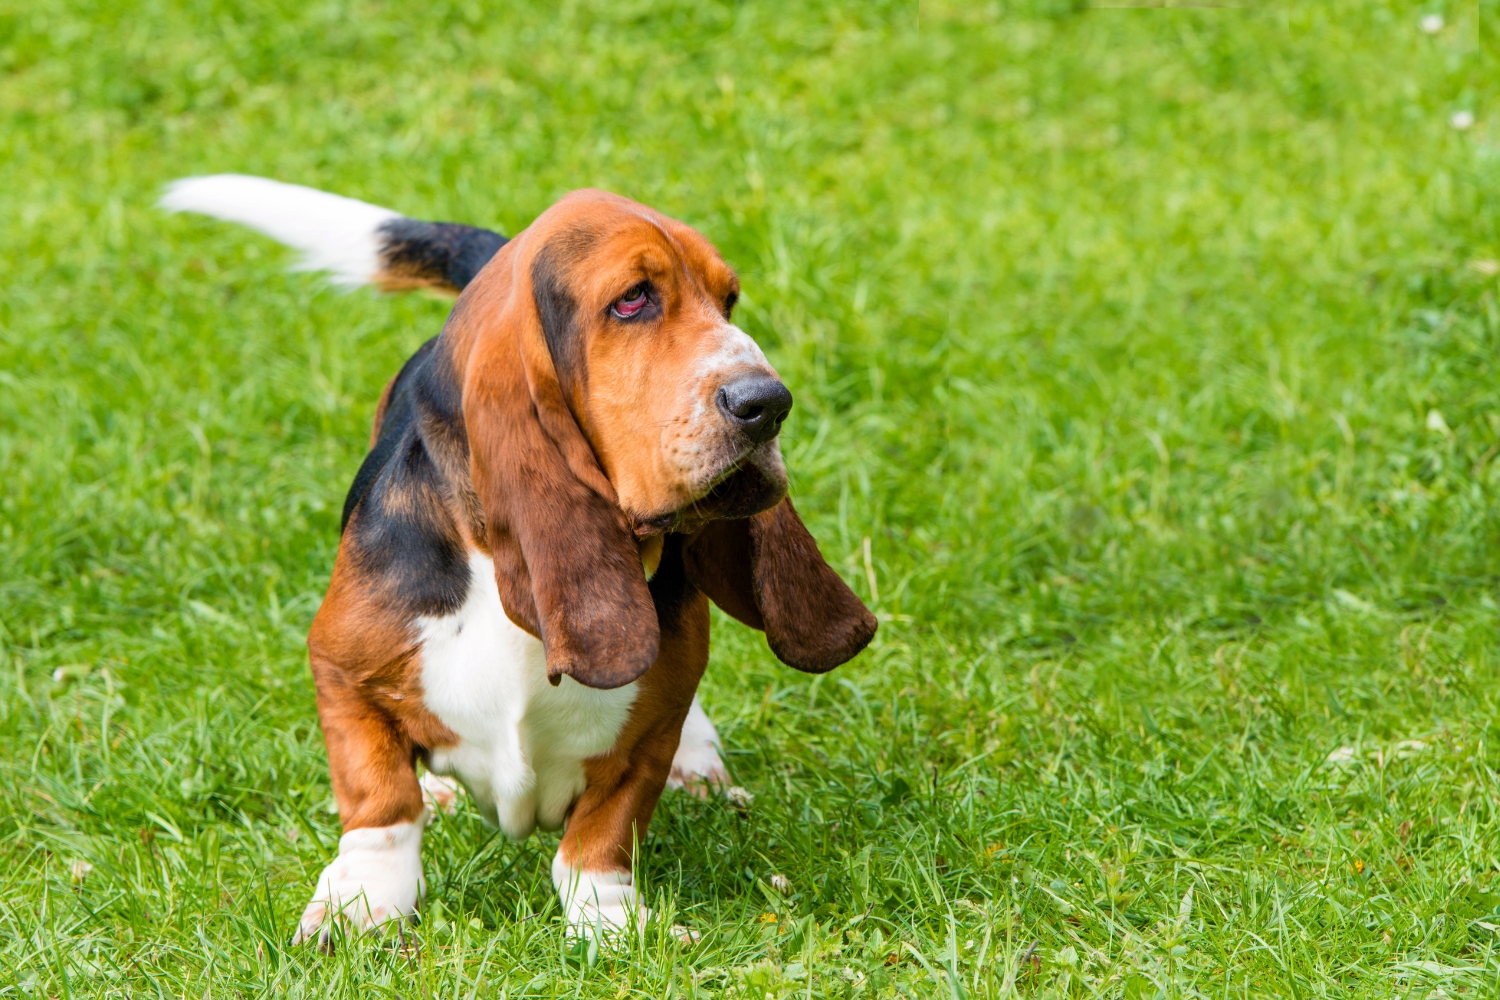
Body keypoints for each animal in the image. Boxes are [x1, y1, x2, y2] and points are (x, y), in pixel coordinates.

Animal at [158, 173, 876, 947]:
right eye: (632, 299)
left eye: (729, 300)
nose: (768, 402)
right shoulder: (339, 669)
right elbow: (380, 801)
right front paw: (362, 903)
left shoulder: (649, 733)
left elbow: (603, 832)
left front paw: (610, 922)